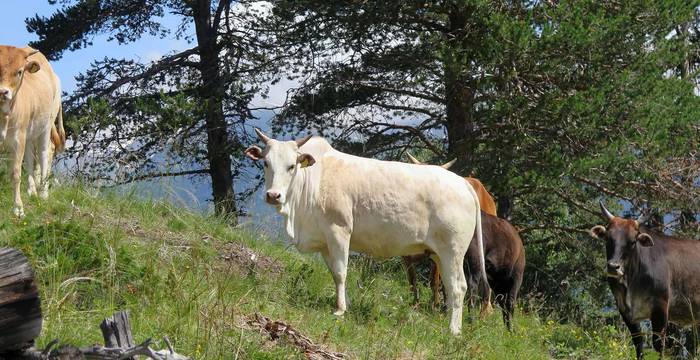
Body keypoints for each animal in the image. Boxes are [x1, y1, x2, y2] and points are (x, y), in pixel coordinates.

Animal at [0, 45, 65, 217]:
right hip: (30, 133)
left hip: (47, 124)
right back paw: (32, 190)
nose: (2, 92)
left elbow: (15, 173)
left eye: (19, 71)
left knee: (45, 152)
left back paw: (43, 192)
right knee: (30, 157)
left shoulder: (18, 139)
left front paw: (18, 208)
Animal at [246, 129, 486, 334]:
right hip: (439, 254)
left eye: (291, 166)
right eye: (266, 163)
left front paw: (340, 310)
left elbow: (341, 272)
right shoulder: (325, 242)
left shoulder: (339, 230)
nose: (273, 195)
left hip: (453, 251)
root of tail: (463, 182)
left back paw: (453, 330)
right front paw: (345, 304)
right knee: (449, 286)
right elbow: (334, 273)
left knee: (458, 287)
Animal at [592, 201, 700, 358]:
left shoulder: (661, 306)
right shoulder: (624, 309)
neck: (630, 284)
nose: (613, 267)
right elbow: (638, 343)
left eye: (632, 241)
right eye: (607, 238)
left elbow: (659, 345)